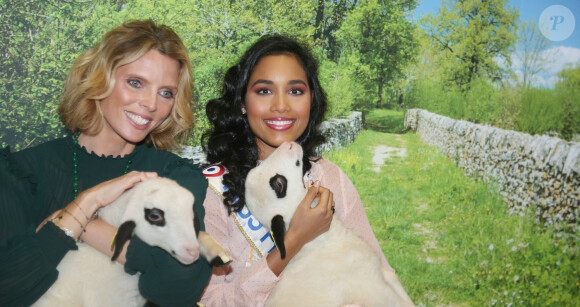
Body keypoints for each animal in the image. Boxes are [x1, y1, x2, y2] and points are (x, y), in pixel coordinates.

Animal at [245, 143, 412, 306]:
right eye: (279, 184)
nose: (289, 144)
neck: (322, 241)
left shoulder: (383, 276)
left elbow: (394, 278)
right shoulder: (376, 289)